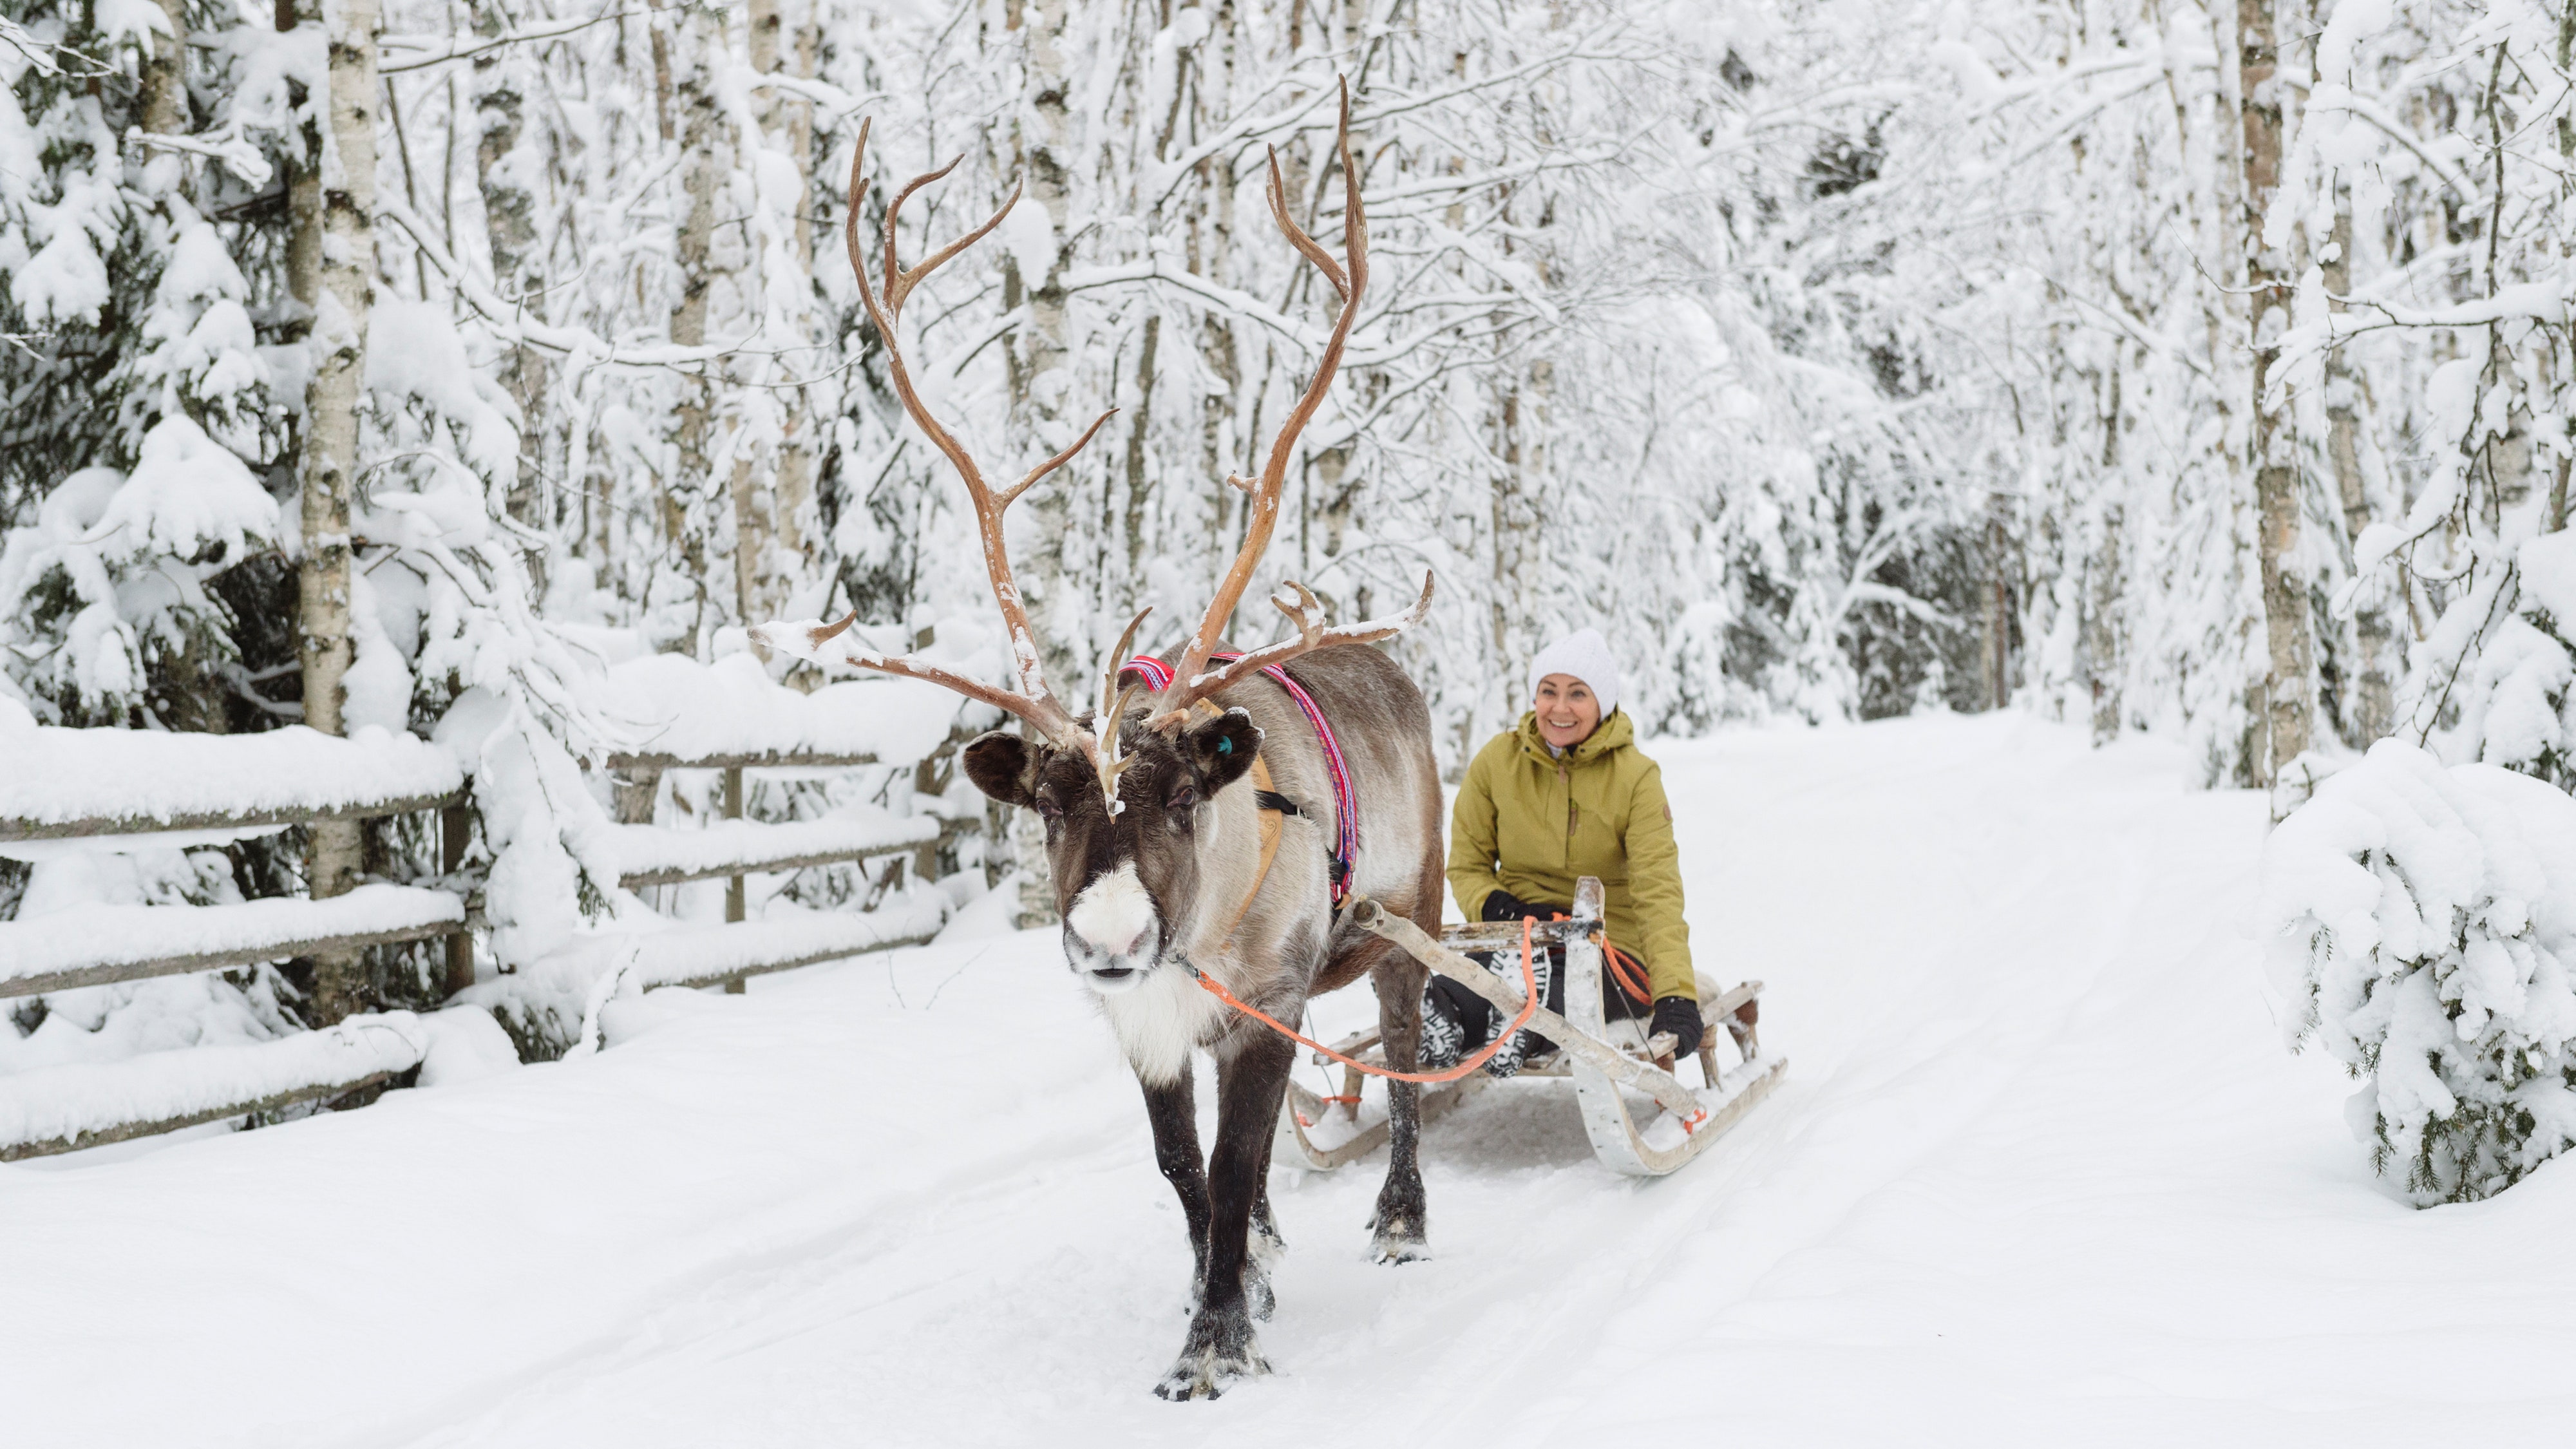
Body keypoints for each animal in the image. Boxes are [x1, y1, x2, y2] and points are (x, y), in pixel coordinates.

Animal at [752, 83, 1446, 1401]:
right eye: (1048, 806)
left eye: (1182, 799)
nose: (1114, 938)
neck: (1196, 938)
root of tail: (1390, 666)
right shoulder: (1141, 1027)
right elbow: (1189, 1174)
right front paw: (1235, 1287)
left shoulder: (1268, 1001)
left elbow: (1236, 1164)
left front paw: (1214, 1343)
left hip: (1412, 912)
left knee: (1403, 1048)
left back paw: (1399, 1217)